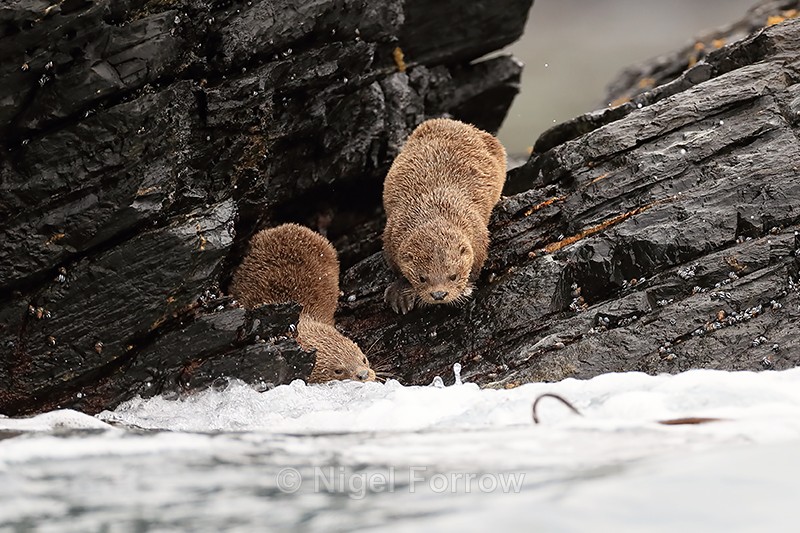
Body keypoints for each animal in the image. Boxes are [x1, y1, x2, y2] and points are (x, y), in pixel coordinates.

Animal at [382, 118, 507, 314]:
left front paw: (467, 287)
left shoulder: (478, 234)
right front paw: (400, 292)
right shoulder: (390, 237)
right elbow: (397, 270)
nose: (439, 294)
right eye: (422, 278)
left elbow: (477, 265)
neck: (431, 211)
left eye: (453, 276)